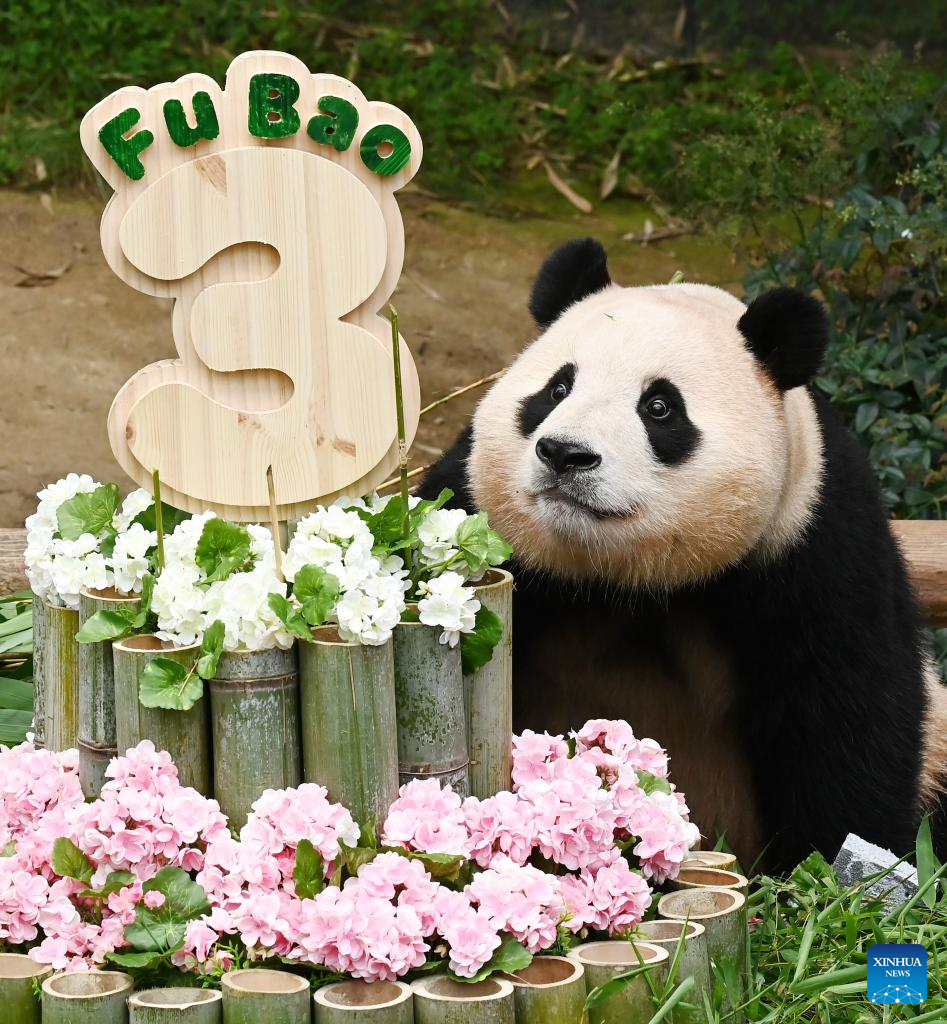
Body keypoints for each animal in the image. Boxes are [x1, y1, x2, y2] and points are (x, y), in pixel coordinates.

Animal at [421, 237, 947, 874]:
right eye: (556, 390)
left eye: (660, 407)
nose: (565, 454)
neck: (626, 584)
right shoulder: (476, 509)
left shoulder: (812, 544)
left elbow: (846, 714)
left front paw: (826, 865)